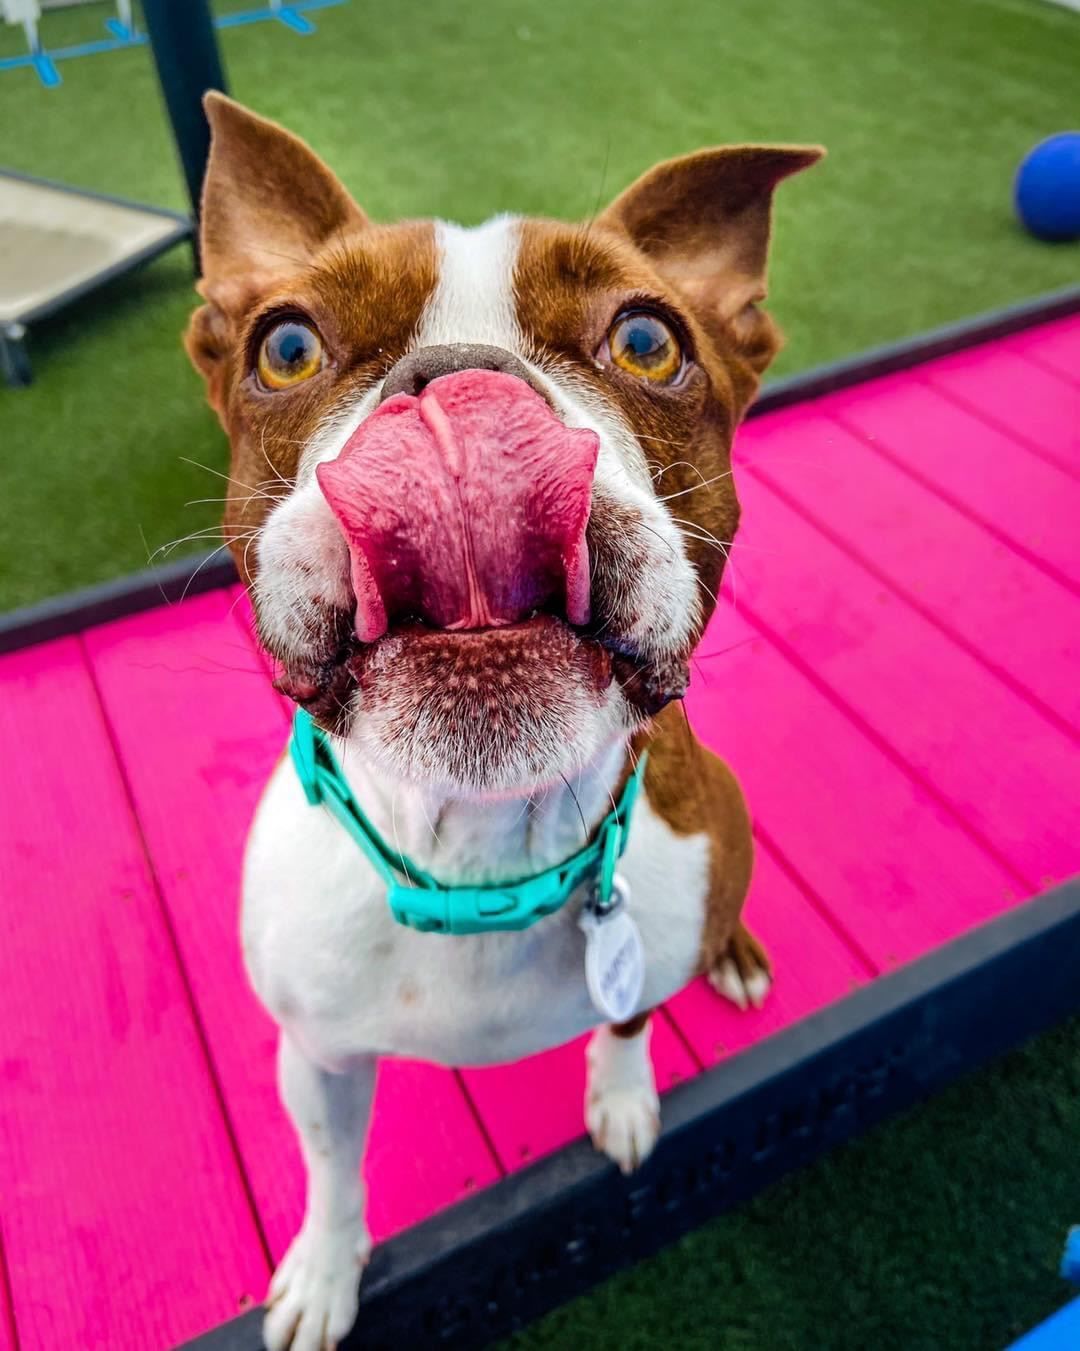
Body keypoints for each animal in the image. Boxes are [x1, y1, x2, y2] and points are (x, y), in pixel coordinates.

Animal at [190, 99, 821, 1351]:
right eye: (285, 349)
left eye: (648, 339)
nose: (457, 389)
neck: (479, 850)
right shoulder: (315, 1056)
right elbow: (332, 1168)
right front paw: (325, 1269)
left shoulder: (645, 959)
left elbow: (627, 1029)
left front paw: (622, 1104)